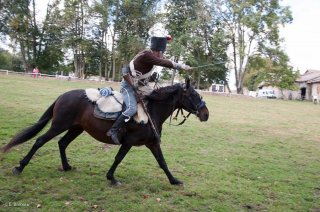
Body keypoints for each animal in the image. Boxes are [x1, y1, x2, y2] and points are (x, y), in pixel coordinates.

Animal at [0, 78, 209, 185]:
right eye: (194, 95)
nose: (206, 114)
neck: (151, 111)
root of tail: (62, 96)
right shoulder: (129, 142)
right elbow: (118, 158)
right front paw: (111, 178)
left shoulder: (152, 143)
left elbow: (162, 162)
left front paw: (174, 180)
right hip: (58, 125)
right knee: (39, 141)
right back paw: (20, 167)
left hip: (76, 128)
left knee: (62, 143)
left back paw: (66, 167)